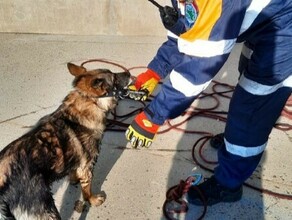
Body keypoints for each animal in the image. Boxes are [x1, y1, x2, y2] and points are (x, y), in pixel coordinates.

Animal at [0, 62, 131, 219]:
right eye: (114, 78)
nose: (129, 73)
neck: (88, 100)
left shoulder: (78, 165)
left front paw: (73, 178)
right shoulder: (87, 167)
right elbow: (87, 190)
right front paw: (92, 200)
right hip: (46, 209)